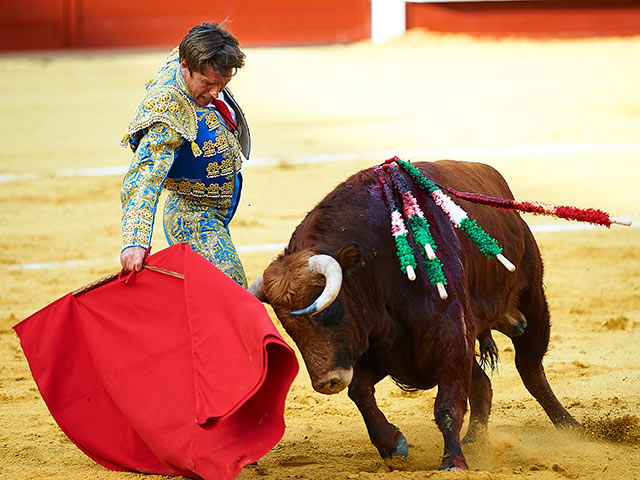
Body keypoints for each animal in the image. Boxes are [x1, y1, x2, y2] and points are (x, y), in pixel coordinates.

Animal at [249, 159, 580, 470]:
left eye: (328, 311)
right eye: (289, 328)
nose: (327, 382)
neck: (379, 265)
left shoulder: (450, 340)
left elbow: (446, 406)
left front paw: (452, 463)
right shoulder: (388, 351)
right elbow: (359, 392)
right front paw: (392, 445)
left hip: (532, 300)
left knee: (530, 370)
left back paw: (571, 429)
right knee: (484, 384)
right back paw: (475, 441)